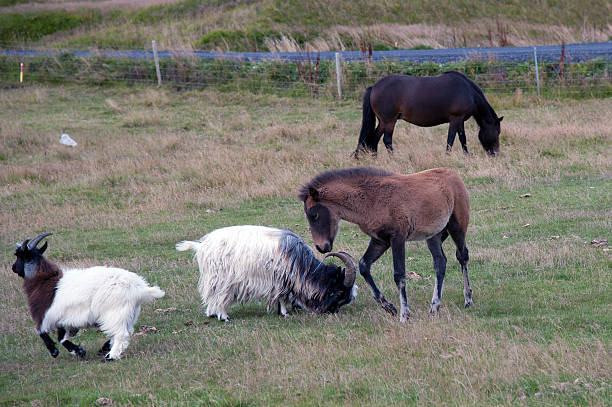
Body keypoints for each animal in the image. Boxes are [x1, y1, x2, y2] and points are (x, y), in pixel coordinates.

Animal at [302, 167, 474, 324]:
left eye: (314, 215)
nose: (321, 247)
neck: (372, 199)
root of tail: (453, 174)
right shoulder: (380, 240)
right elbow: (364, 266)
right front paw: (389, 307)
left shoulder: (397, 238)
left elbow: (399, 275)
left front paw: (404, 315)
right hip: (433, 236)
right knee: (440, 262)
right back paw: (434, 308)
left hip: (457, 226)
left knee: (462, 256)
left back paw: (468, 300)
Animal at [354, 71, 502, 157]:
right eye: (497, 132)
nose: (496, 154)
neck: (468, 91)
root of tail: (374, 87)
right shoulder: (455, 119)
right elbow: (451, 139)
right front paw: (448, 156)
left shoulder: (460, 121)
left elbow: (462, 138)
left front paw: (466, 156)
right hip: (389, 121)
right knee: (386, 140)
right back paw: (393, 158)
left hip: (383, 121)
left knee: (374, 138)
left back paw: (375, 157)